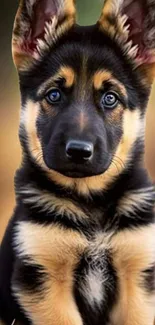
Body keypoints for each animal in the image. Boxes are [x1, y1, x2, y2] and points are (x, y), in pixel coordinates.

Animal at [0, 0, 155, 322]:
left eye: (110, 98)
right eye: (54, 94)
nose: (79, 152)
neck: (89, 203)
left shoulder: (136, 280)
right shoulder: (44, 280)